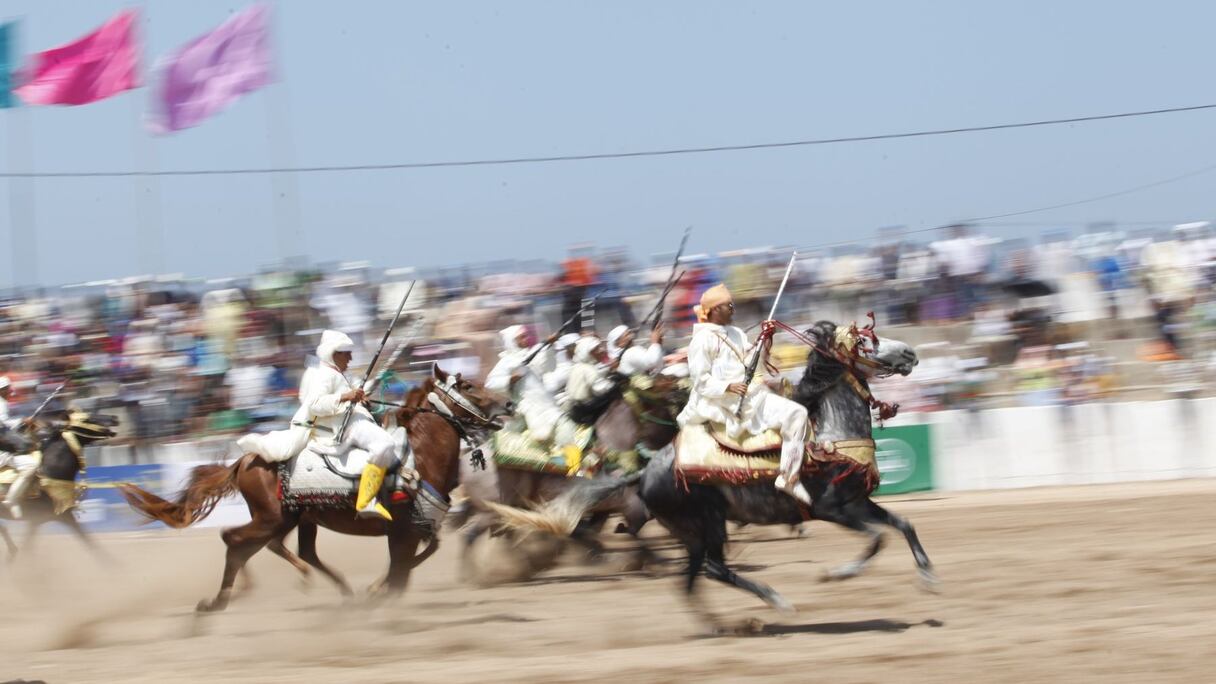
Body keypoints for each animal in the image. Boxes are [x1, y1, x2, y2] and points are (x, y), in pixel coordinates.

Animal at [0, 408, 120, 559]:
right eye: (86, 419)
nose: (114, 417)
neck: (49, 471)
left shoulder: (52, 517)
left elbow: (92, 545)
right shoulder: (49, 517)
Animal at [119, 367, 508, 613]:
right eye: (468, 386)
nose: (506, 404)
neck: (419, 455)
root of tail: (244, 461)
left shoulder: (417, 528)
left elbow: (415, 562)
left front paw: (373, 590)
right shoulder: (402, 530)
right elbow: (402, 572)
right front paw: (378, 594)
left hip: (296, 519)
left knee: (291, 551)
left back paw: (339, 590)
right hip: (272, 518)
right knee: (235, 540)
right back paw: (220, 601)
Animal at [457, 369, 685, 576]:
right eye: (667, 395)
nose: (678, 429)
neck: (613, 447)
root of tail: (466, 460)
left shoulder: (602, 507)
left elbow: (591, 531)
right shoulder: (631, 505)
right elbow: (635, 531)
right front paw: (656, 561)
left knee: (498, 534)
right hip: (493, 509)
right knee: (473, 535)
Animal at [488, 318, 933, 623]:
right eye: (865, 338)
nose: (910, 354)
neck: (830, 434)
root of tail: (644, 473)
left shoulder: (859, 501)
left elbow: (904, 525)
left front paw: (928, 575)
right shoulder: (832, 508)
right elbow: (876, 539)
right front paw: (837, 574)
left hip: (692, 532)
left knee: (691, 580)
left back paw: (722, 624)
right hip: (708, 522)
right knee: (713, 569)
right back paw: (775, 601)